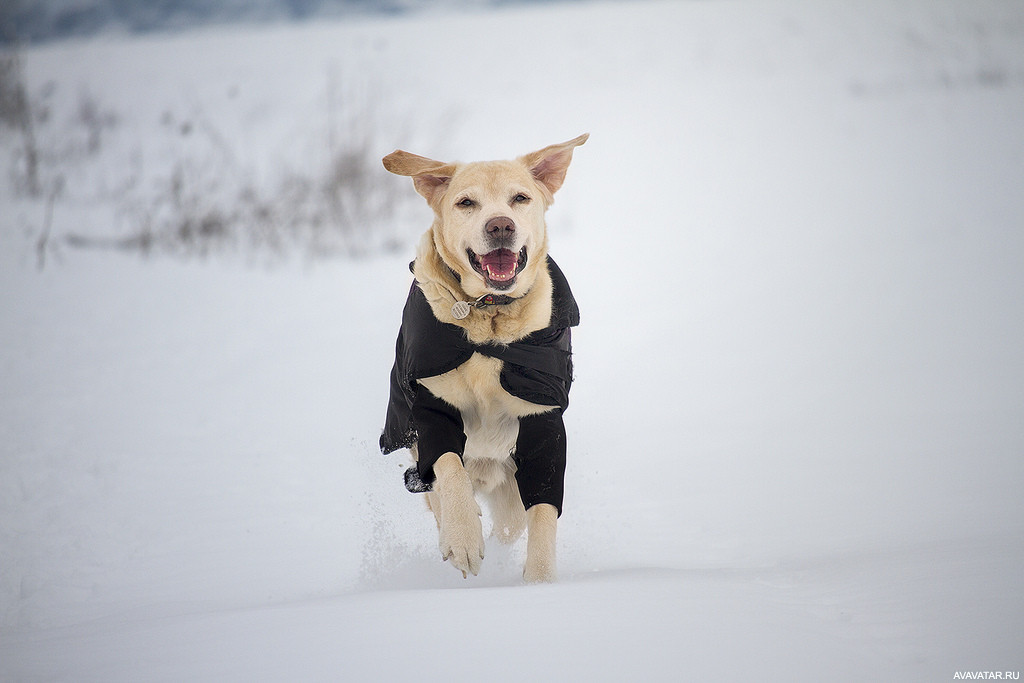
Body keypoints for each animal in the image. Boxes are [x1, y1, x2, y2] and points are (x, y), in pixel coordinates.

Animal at [380, 136, 589, 585]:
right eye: (466, 203)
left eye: (520, 198)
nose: (500, 226)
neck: (490, 318)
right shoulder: (431, 405)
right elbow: (447, 466)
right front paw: (462, 537)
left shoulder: (542, 419)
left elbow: (543, 510)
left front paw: (540, 582)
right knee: (439, 489)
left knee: (510, 522)